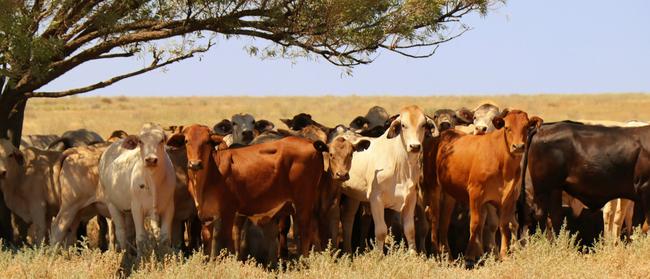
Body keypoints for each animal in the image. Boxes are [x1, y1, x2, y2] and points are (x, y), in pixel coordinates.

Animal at [97, 123, 176, 254]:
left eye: (162, 140)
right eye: (140, 141)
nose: (151, 160)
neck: (152, 181)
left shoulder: (169, 207)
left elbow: (164, 238)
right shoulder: (137, 208)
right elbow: (141, 237)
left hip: (128, 210)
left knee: (129, 233)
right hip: (112, 205)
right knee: (121, 233)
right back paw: (126, 255)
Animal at [167, 125, 326, 258]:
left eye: (207, 142)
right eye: (186, 141)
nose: (195, 164)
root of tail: (311, 144)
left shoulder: (227, 212)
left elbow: (224, 240)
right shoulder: (207, 216)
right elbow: (208, 242)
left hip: (303, 203)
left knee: (305, 232)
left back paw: (304, 261)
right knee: (314, 229)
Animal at [342, 105, 432, 254]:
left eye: (423, 124)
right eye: (403, 125)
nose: (415, 146)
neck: (400, 164)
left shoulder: (410, 198)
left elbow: (410, 229)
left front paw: (413, 254)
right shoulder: (376, 199)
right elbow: (381, 231)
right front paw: (378, 255)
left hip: (353, 196)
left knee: (348, 219)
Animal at [428, 110, 540, 266]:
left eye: (526, 127)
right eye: (507, 128)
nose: (518, 147)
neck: (503, 164)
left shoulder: (509, 198)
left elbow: (503, 225)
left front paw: (503, 254)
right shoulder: (475, 194)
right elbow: (475, 224)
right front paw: (469, 256)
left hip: (449, 194)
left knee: (444, 222)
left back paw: (448, 257)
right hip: (434, 188)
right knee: (434, 219)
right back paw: (436, 253)